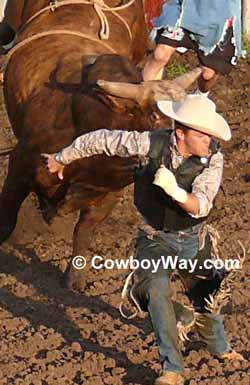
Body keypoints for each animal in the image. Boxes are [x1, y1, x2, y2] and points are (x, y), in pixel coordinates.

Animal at [0, 0, 199, 290]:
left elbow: (84, 232)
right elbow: (7, 219)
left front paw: (74, 280)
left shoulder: (108, 193)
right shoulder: (20, 163)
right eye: (154, 115)